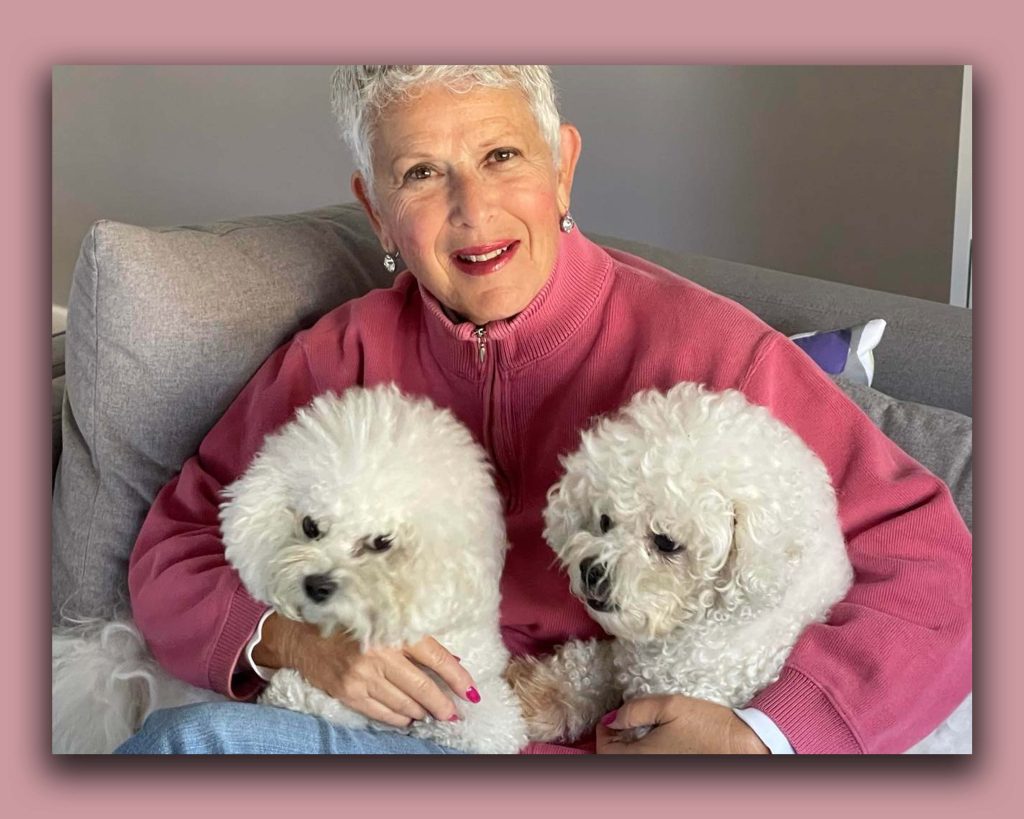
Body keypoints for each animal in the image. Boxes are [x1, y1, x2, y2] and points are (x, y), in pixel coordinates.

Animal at [51, 384, 524, 753]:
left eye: (380, 543)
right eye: (311, 526)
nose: (316, 585)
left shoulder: (477, 689)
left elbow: (481, 721)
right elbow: (317, 698)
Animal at [512, 382, 856, 741]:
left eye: (666, 542)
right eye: (605, 521)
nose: (590, 571)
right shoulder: (628, 655)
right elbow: (587, 667)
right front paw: (536, 695)